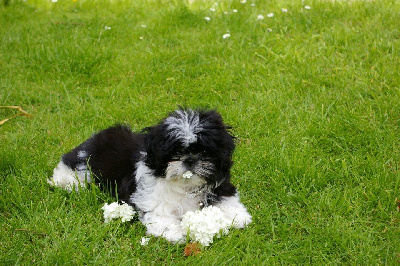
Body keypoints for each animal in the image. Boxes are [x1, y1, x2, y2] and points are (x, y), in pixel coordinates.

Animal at [48, 108, 252, 243]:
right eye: (175, 153)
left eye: (203, 151)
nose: (189, 160)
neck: (185, 186)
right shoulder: (153, 200)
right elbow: (163, 218)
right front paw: (176, 233)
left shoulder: (220, 185)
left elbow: (227, 200)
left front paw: (237, 216)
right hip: (85, 163)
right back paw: (65, 181)